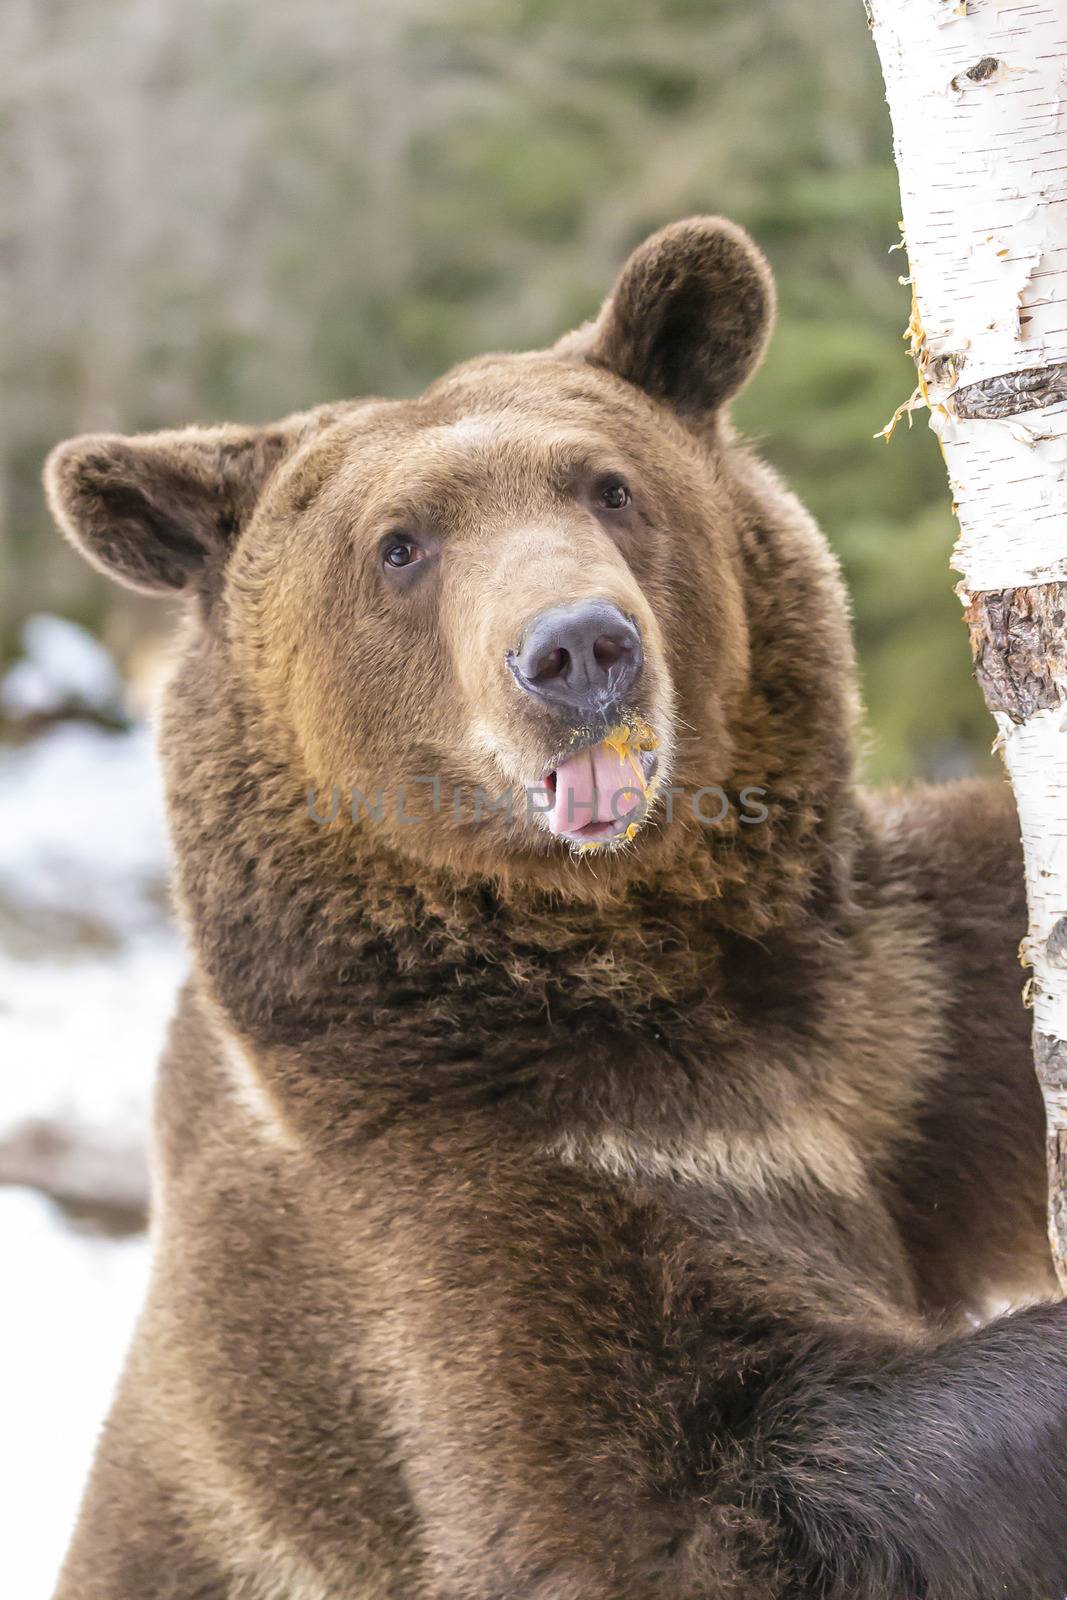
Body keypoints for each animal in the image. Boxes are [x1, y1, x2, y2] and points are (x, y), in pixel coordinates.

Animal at [41, 216, 1067, 1600]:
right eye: (399, 544)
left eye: (607, 486)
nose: (577, 648)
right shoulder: (498, 1160)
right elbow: (670, 1505)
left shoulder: (905, 1010)